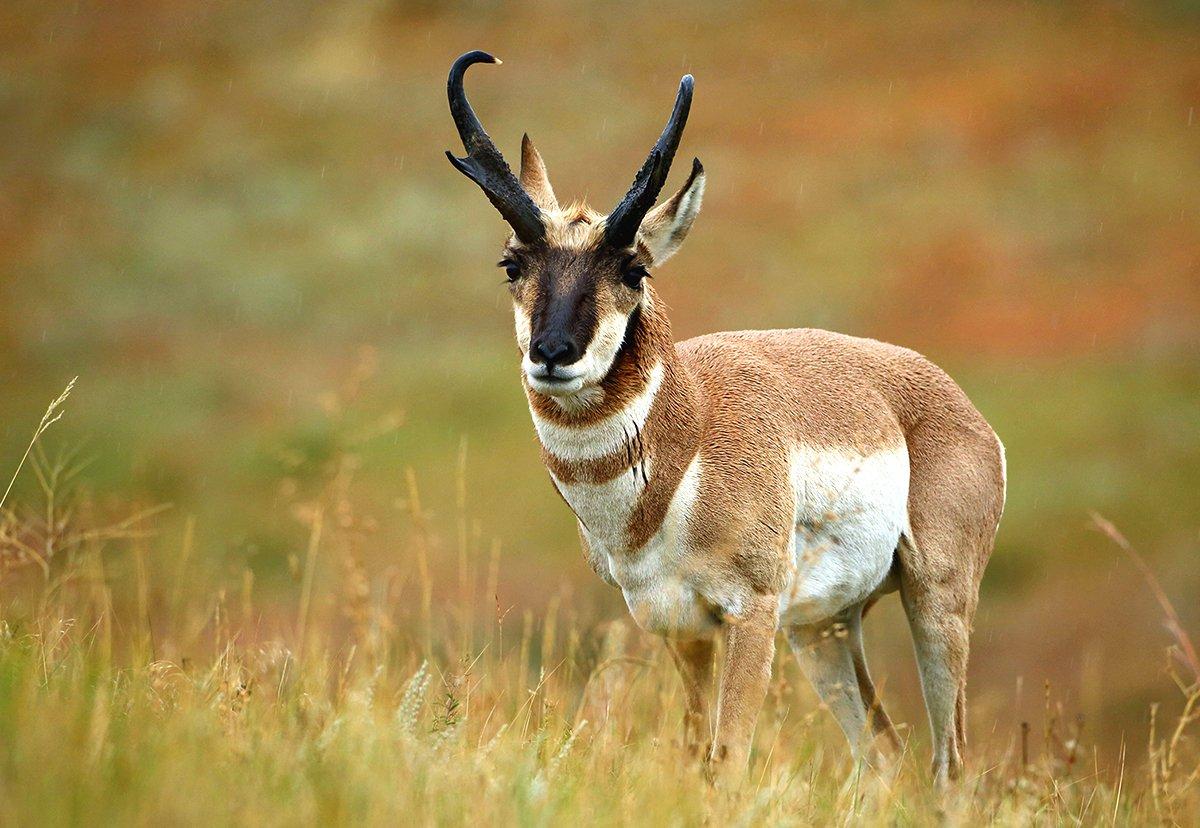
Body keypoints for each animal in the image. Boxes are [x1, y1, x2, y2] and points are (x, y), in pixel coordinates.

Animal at [446, 48, 1008, 782]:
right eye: (512, 264)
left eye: (634, 270)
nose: (552, 353)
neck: (689, 433)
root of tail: (956, 403)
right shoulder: (681, 630)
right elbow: (697, 758)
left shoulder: (750, 617)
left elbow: (730, 758)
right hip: (822, 630)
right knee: (884, 754)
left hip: (935, 603)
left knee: (951, 762)